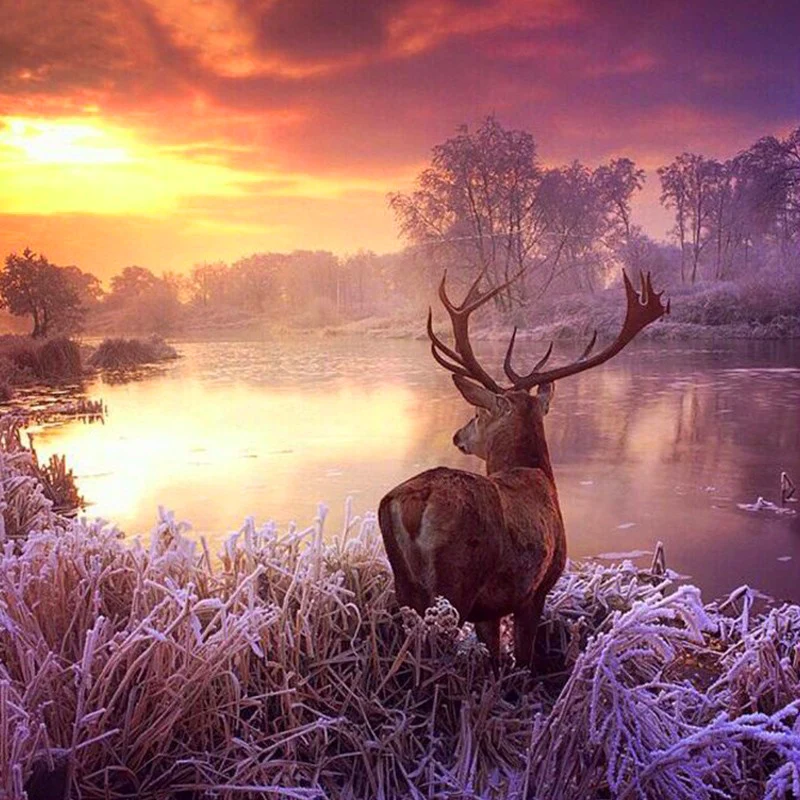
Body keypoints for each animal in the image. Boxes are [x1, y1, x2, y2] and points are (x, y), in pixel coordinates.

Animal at [378, 269, 669, 669]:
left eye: (477, 413)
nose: (457, 436)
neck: (534, 472)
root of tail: (412, 502)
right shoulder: (536, 589)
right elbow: (524, 659)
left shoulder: (489, 608)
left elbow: (495, 655)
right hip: (455, 584)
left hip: (405, 585)